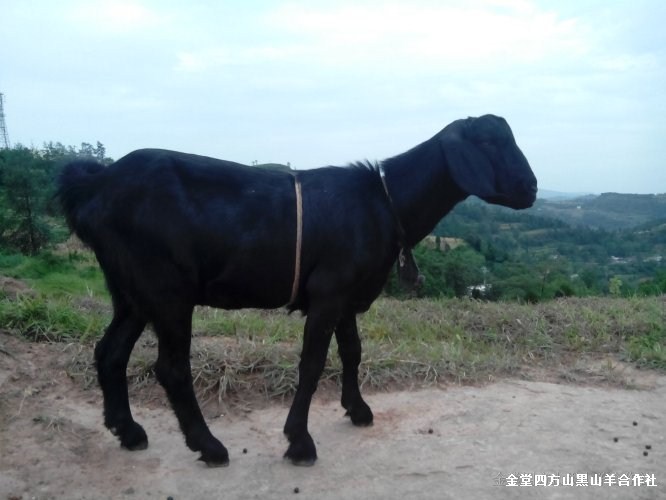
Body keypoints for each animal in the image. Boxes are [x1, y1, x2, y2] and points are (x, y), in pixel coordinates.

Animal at [55, 115, 536, 466]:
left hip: (130, 288)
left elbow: (352, 352)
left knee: (110, 352)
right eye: (489, 142)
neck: (385, 201)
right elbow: (312, 363)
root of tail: (95, 186)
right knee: (170, 367)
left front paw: (358, 410)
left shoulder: (346, 296)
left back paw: (129, 432)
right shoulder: (328, 292)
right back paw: (209, 446)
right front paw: (299, 442)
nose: (530, 188)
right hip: (166, 286)